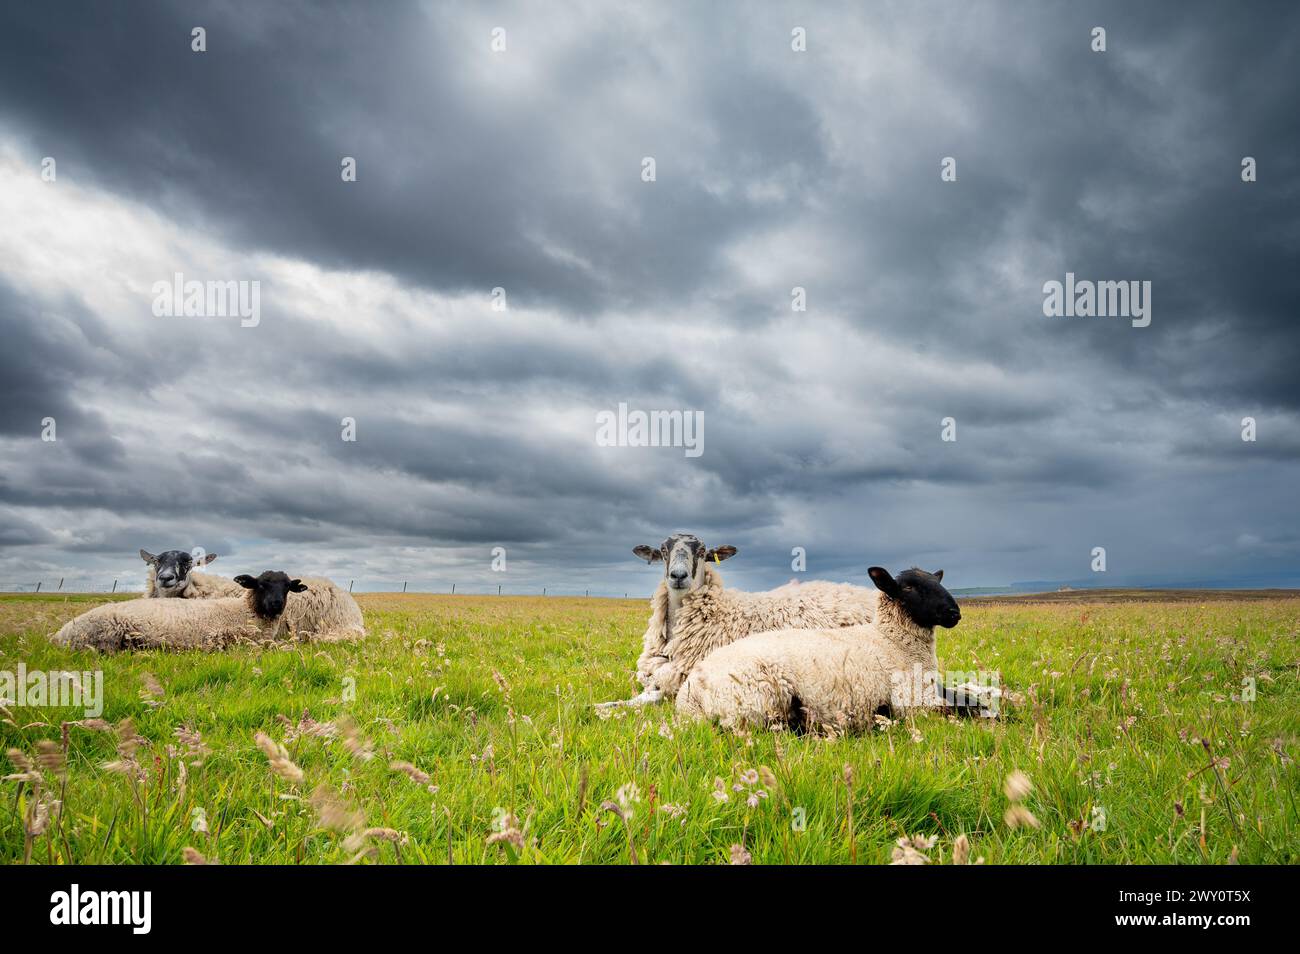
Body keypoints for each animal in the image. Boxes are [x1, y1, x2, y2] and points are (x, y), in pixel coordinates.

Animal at [595, 533, 876, 709]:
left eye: (702, 551)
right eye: (664, 551)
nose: (678, 575)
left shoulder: (687, 679)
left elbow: (650, 699)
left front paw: (604, 709)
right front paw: (603, 705)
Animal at [676, 566, 963, 732]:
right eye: (909, 587)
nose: (954, 613)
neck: (890, 641)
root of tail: (689, 694)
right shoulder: (916, 703)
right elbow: (962, 711)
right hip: (757, 701)